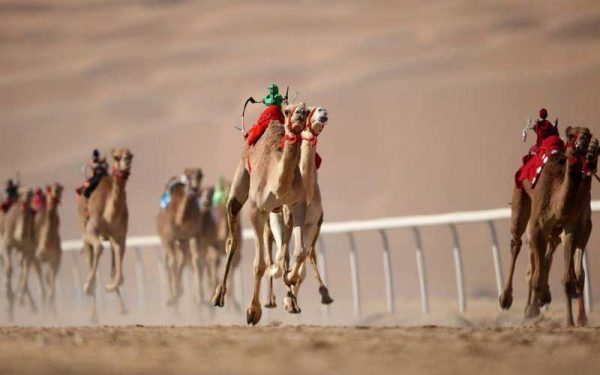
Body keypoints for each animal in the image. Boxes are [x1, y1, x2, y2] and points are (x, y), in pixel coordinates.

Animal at [78, 148, 133, 322]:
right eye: (116, 157)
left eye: (131, 156)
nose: (126, 162)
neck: (109, 215)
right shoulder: (91, 231)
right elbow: (99, 249)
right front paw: (87, 288)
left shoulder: (120, 236)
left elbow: (117, 271)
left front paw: (110, 286)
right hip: (84, 233)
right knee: (92, 256)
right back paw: (93, 315)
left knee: (111, 266)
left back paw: (123, 308)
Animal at [212, 101, 310, 324]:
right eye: (287, 111)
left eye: (307, 109)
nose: (300, 114)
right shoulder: (256, 209)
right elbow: (259, 265)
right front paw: (253, 311)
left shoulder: (297, 204)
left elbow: (299, 251)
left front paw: (291, 279)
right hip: (239, 183)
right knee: (232, 240)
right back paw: (218, 296)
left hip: (280, 211)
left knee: (283, 251)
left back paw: (291, 300)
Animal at [264, 106, 336, 308]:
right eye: (309, 110)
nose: (322, 111)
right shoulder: (286, 219)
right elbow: (284, 257)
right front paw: (288, 296)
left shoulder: (312, 223)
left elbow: (301, 257)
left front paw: (292, 299)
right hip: (271, 222)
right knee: (272, 254)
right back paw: (269, 298)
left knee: (305, 255)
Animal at [500, 127, 592, 326]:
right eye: (572, 135)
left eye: (588, 134)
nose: (583, 140)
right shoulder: (537, 226)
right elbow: (536, 272)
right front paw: (534, 306)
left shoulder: (572, 225)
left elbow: (568, 275)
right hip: (520, 194)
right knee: (516, 242)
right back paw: (506, 299)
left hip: (555, 229)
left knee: (549, 250)